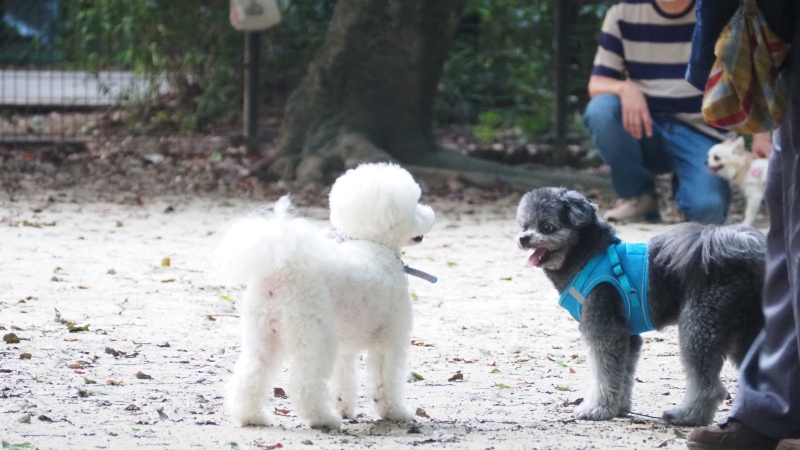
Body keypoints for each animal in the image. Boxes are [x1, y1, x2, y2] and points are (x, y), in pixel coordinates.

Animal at [216, 162, 434, 428]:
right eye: (415, 206)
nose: (430, 214)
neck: (374, 244)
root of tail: (282, 270)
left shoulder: (345, 346)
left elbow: (343, 378)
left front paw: (345, 408)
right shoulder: (390, 338)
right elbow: (385, 380)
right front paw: (395, 413)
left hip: (262, 333)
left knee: (251, 373)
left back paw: (252, 416)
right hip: (313, 334)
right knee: (305, 384)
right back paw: (324, 419)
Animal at [516, 186, 764, 426]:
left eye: (546, 227)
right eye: (525, 226)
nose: (523, 238)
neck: (587, 256)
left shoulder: (604, 329)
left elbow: (603, 373)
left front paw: (597, 409)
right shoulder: (627, 335)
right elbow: (621, 374)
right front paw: (618, 407)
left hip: (699, 326)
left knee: (709, 386)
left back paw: (687, 416)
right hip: (744, 332)